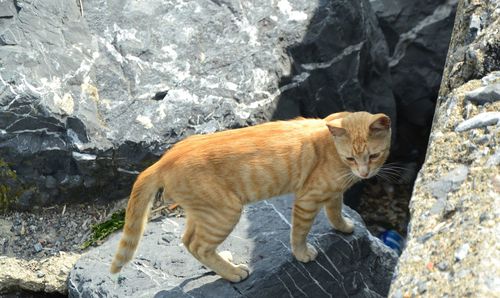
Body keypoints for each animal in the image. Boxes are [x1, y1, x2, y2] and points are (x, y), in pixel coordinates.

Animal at [109, 111, 390, 282]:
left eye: (374, 156)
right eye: (351, 158)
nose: (364, 173)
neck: (331, 148)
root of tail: (163, 160)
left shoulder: (332, 192)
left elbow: (335, 210)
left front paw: (343, 226)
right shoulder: (308, 199)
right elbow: (300, 232)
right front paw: (302, 254)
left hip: (204, 212)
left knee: (188, 240)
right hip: (225, 212)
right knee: (198, 245)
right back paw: (233, 273)